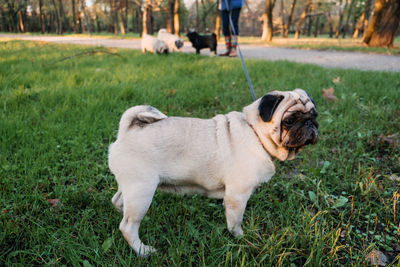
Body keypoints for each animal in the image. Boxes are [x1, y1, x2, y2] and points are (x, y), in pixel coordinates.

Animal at [108, 89, 318, 256]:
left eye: (314, 115)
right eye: (290, 120)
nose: (310, 123)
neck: (254, 133)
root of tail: (127, 130)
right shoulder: (238, 195)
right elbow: (235, 221)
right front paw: (240, 238)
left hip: (132, 186)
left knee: (118, 201)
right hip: (142, 189)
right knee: (128, 226)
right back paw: (142, 250)